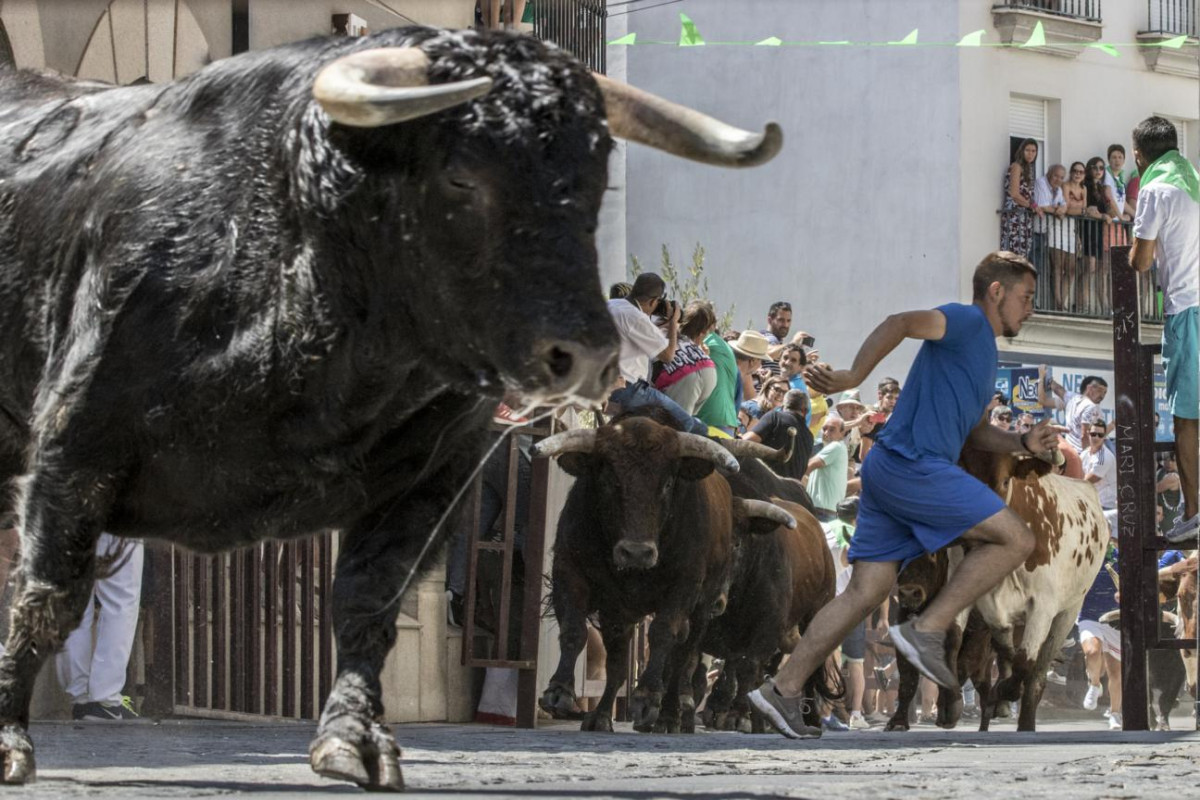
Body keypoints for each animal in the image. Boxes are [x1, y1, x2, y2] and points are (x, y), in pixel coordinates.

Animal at [0, 26, 782, 796]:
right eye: (462, 177)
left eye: (591, 187)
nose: (588, 351)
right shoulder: (76, 449)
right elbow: (46, 598)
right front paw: (10, 740)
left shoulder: (429, 481)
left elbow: (367, 603)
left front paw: (354, 738)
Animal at [955, 450, 1104, 734]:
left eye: (1004, 481)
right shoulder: (988, 605)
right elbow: (1003, 652)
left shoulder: (1042, 609)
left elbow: (1025, 665)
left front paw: (1005, 691)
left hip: (1069, 612)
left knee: (1036, 676)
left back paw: (1024, 720)